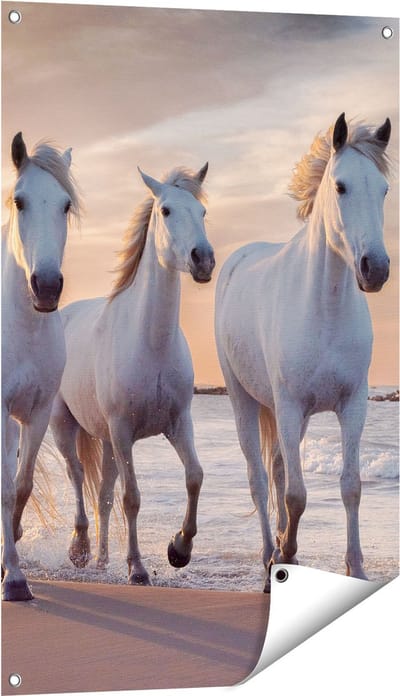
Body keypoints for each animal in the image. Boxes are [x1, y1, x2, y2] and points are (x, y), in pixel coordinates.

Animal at [50, 163, 215, 585]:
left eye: (202, 212)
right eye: (167, 211)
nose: (203, 260)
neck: (150, 343)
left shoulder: (178, 423)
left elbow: (194, 476)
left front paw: (179, 549)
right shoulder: (124, 431)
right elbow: (132, 498)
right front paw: (138, 568)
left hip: (107, 442)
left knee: (103, 494)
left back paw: (102, 559)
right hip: (65, 425)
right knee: (78, 476)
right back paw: (80, 549)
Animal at [215, 113, 391, 592]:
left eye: (384, 189)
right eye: (341, 186)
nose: (376, 269)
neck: (325, 308)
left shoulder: (353, 405)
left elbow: (350, 486)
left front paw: (356, 568)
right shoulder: (290, 406)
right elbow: (296, 495)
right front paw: (287, 550)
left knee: (277, 468)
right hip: (244, 400)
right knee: (260, 479)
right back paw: (268, 555)